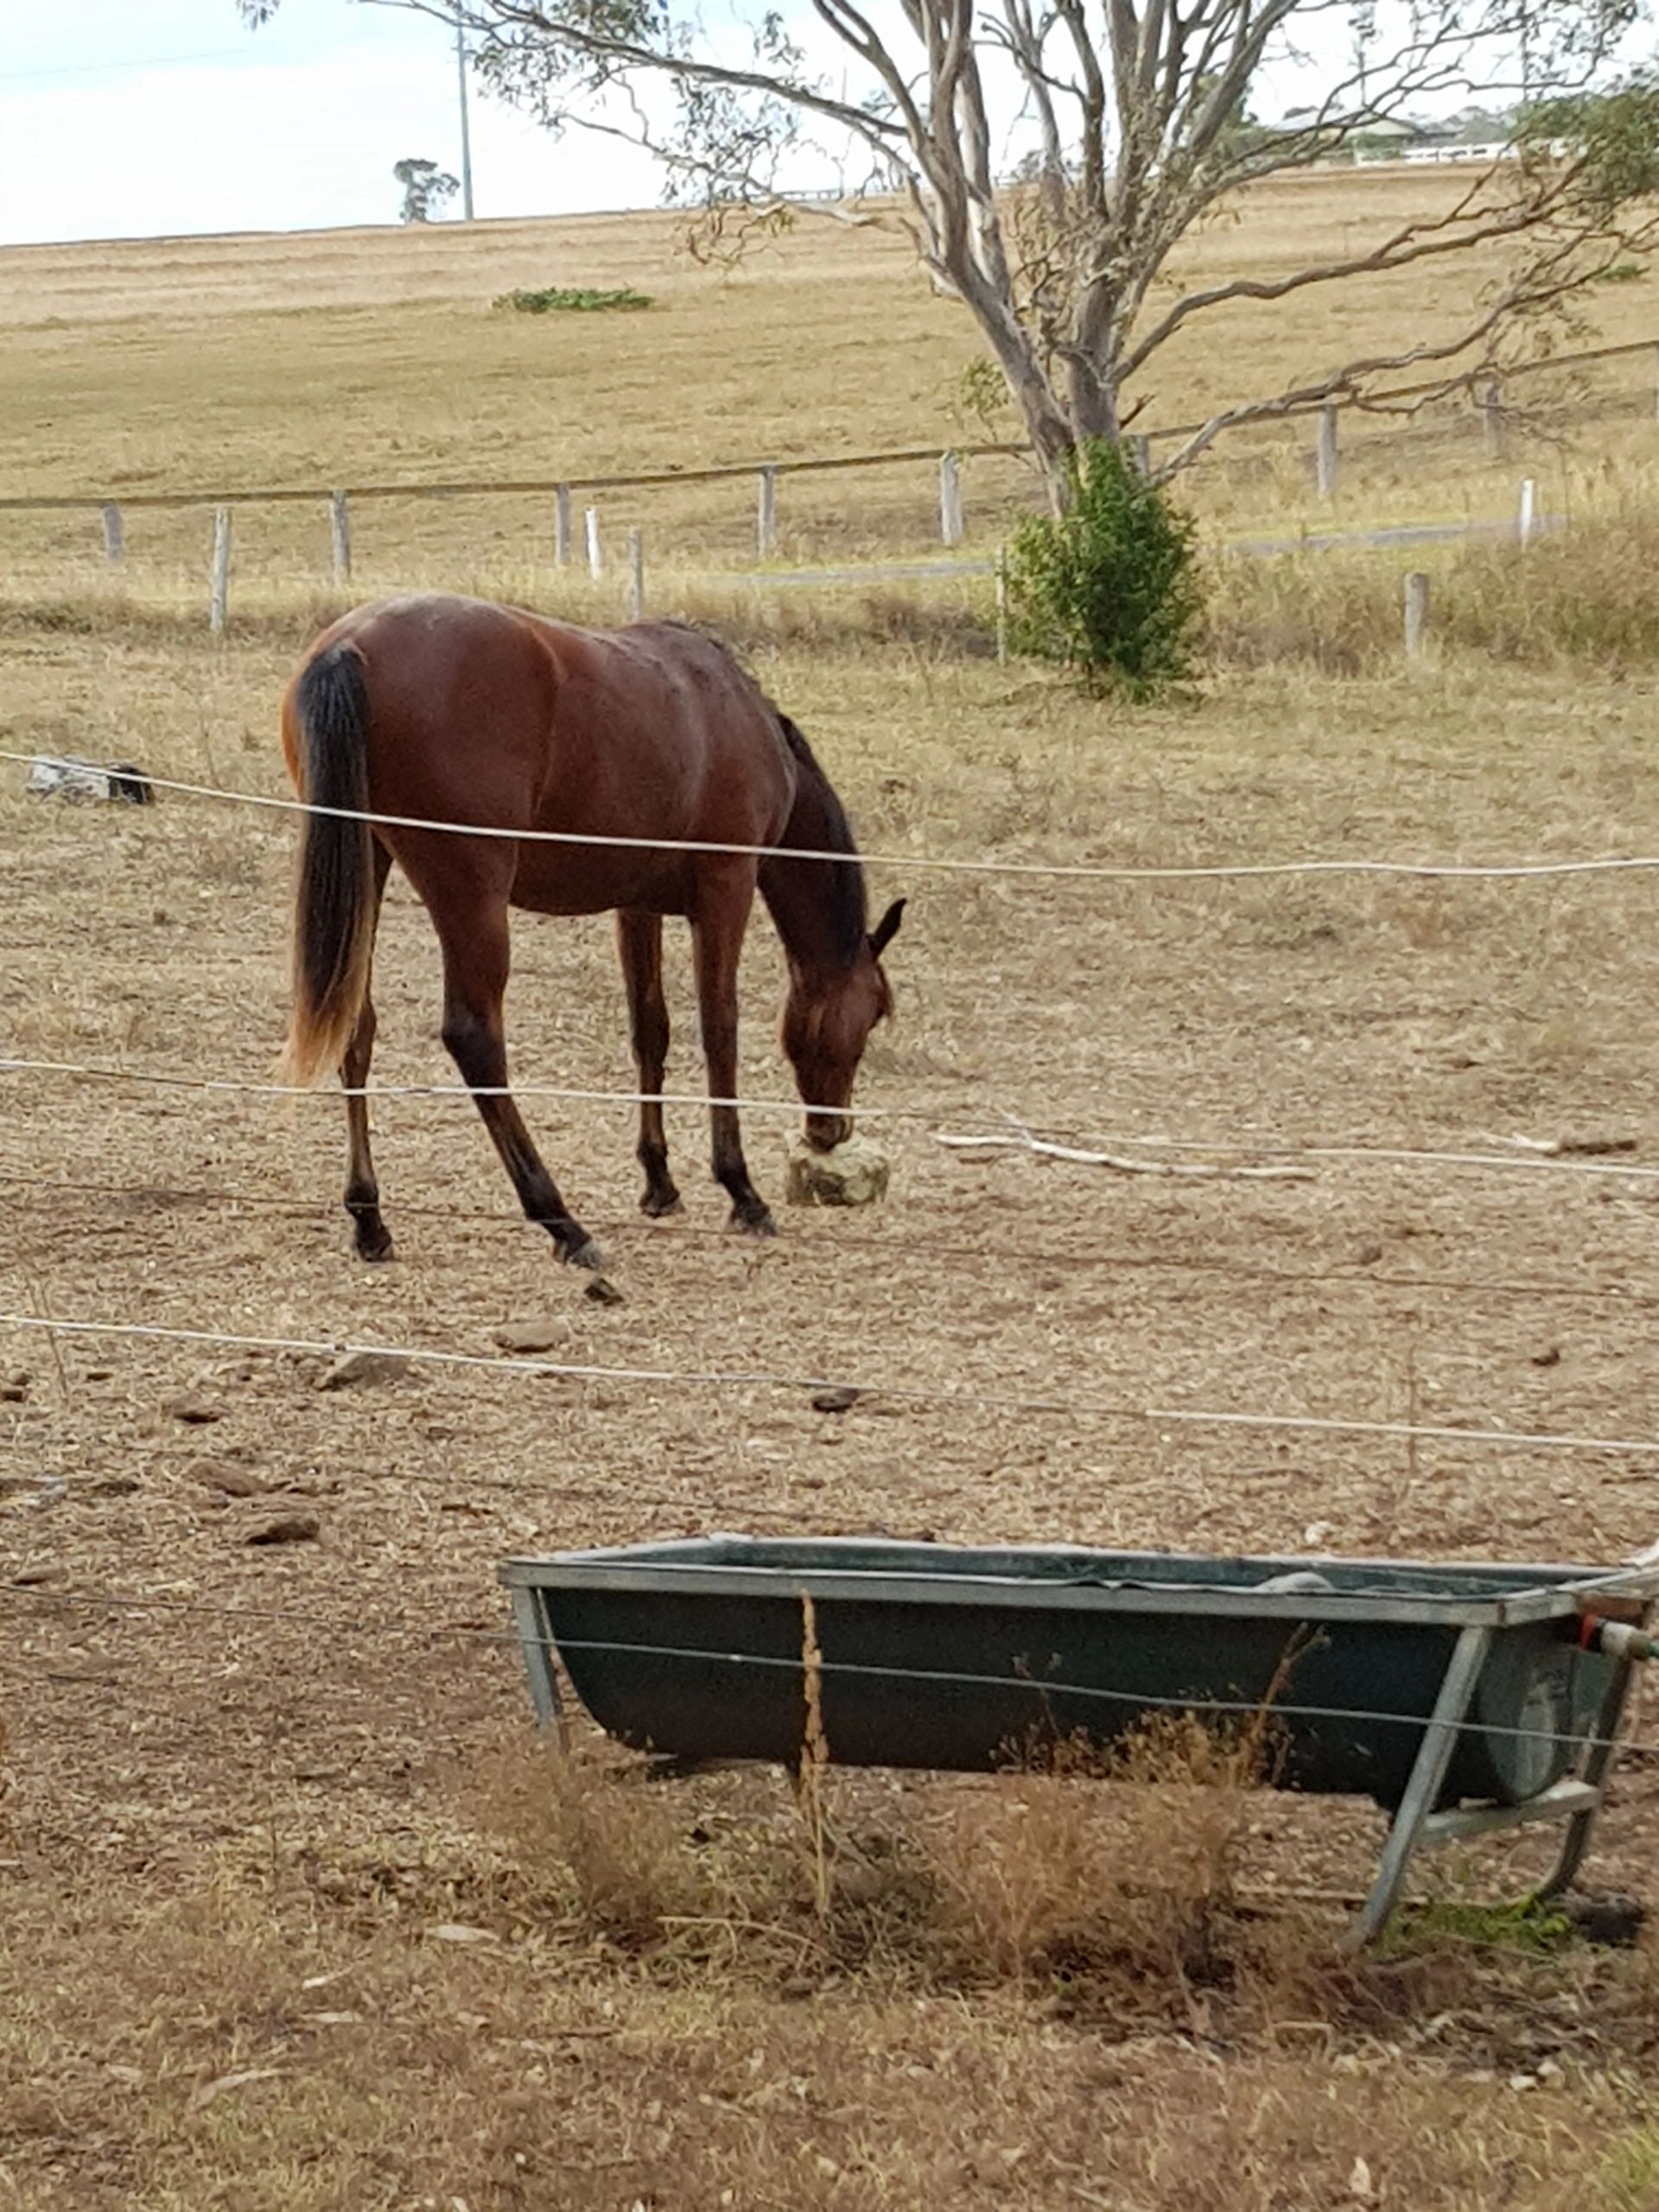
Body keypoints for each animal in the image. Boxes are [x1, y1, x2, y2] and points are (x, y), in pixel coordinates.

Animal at [278, 592, 904, 1277]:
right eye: (875, 1012)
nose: (830, 1131)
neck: (733, 709)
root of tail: (351, 646)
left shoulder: (637, 906)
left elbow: (650, 1030)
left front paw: (660, 1183)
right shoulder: (727, 888)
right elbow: (720, 1028)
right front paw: (741, 1190)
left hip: (370, 866)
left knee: (355, 1028)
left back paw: (370, 1219)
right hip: (470, 893)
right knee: (475, 1039)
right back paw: (560, 1220)